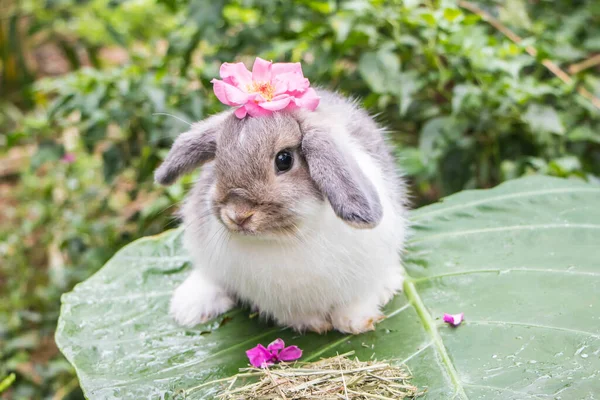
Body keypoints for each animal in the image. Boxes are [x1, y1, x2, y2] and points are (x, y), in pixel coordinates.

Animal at [155, 90, 408, 334]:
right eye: (218, 160)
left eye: (284, 159)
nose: (238, 215)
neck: (287, 238)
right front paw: (312, 324)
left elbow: (357, 302)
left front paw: (354, 323)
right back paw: (188, 308)